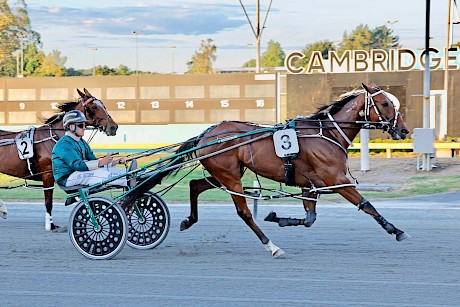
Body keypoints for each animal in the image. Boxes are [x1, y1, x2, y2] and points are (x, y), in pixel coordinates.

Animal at [0, 88, 117, 231]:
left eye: (103, 105)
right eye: (94, 107)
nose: (113, 127)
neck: (55, 137)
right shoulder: (48, 175)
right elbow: (49, 202)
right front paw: (50, 225)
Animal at [149, 83, 408, 258]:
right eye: (385, 103)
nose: (404, 130)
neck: (327, 134)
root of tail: (207, 133)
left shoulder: (309, 185)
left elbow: (310, 219)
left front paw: (277, 217)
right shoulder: (336, 179)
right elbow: (366, 205)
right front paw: (395, 230)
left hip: (226, 173)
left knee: (195, 185)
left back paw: (189, 220)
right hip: (230, 177)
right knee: (244, 213)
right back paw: (272, 246)